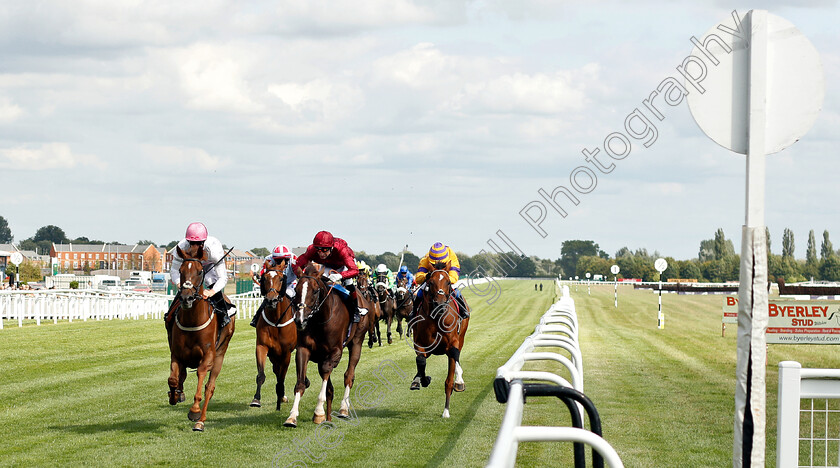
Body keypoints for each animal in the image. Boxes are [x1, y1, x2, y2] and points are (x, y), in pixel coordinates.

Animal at [167, 245, 235, 432]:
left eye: (199, 271)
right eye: (181, 271)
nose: (186, 298)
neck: (192, 320)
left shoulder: (208, 356)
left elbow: (201, 374)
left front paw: (194, 411)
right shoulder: (176, 354)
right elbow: (173, 379)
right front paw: (174, 395)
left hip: (220, 354)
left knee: (209, 388)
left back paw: (200, 421)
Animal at [251, 260, 296, 410]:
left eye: (281, 278)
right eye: (264, 278)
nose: (271, 300)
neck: (276, 320)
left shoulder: (286, 352)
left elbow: (282, 378)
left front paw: (279, 400)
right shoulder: (262, 346)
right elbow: (261, 375)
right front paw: (256, 399)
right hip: (273, 354)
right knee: (276, 370)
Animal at [284, 264, 370, 428]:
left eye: (315, 291)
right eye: (296, 290)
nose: (300, 320)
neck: (320, 319)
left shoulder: (335, 352)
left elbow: (326, 372)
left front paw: (319, 412)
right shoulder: (304, 349)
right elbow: (301, 383)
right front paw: (291, 416)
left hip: (357, 342)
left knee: (349, 376)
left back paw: (343, 408)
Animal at [410, 266, 470, 418]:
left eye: (448, 282)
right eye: (430, 282)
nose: (440, 304)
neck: (436, 317)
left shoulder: (452, 344)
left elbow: (453, 360)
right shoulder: (420, 344)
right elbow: (421, 361)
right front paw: (422, 380)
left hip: (461, 337)